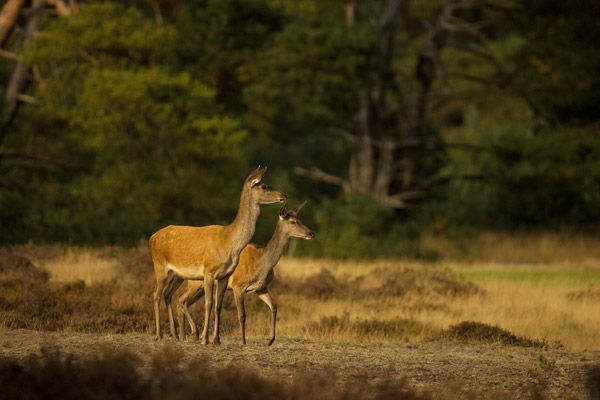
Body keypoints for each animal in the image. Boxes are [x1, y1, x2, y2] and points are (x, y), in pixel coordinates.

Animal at [149, 166, 288, 344]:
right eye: (263, 186)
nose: (284, 195)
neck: (228, 241)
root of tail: (151, 237)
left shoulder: (224, 276)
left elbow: (218, 306)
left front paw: (216, 339)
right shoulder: (209, 271)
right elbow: (208, 303)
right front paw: (204, 339)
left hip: (177, 274)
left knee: (167, 294)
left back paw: (174, 334)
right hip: (159, 266)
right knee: (156, 295)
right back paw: (159, 334)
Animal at [175, 202, 314, 346]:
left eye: (300, 219)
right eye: (293, 221)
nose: (311, 233)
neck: (261, 263)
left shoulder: (261, 287)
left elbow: (274, 306)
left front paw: (269, 340)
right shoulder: (238, 285)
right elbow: (242, 315)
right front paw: (243, 340)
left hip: (202, 285)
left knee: (184, 301)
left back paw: (187, 335)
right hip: (195, 281)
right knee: (181, 299)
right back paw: (193, 333)